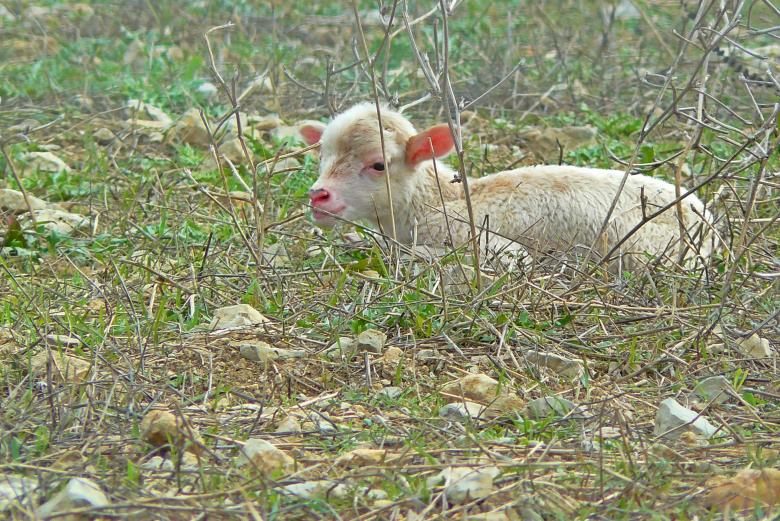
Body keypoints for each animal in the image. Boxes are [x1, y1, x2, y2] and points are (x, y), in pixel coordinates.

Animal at [300, 103, 715, 270]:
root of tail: (706, 218)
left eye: (378, 165)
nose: (318, 195)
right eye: (321, 155)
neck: (437, 201)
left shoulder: (488, 244)